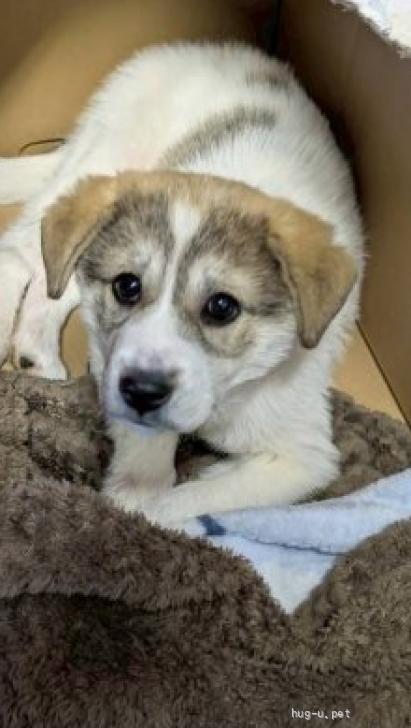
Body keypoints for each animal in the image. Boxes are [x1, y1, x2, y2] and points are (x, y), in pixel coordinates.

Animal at [0, 43, 363, 526]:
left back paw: (37, 354)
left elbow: (184, 501)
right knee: (19, 255)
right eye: (128, 287)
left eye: (222, 307)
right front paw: (131, 495)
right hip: (101, 166)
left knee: (56, 279)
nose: (142, 391)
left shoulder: (304, 457)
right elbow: (148, 472)